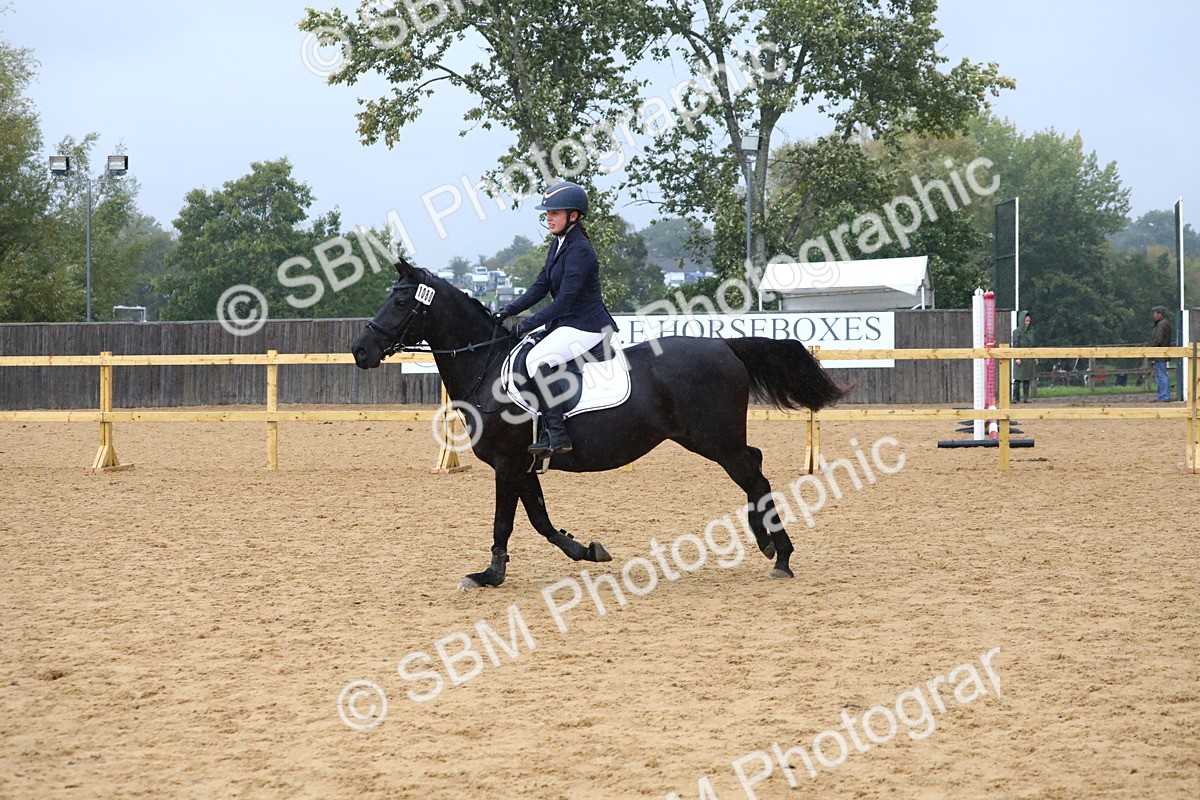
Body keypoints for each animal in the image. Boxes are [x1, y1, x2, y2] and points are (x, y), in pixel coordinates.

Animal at [351, 259, 846, 588]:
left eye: (400, 300)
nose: (360, 351)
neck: (486, 367)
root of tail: (725, 346)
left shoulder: (507, 465)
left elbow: (504, 522)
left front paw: (488, 575)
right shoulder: (524, 466)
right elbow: (540, 520)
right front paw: (585, 550)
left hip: (715, 440)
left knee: (755, 475)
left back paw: (780, 556)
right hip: (714, 439)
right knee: (754, 470)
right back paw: (768, 545)